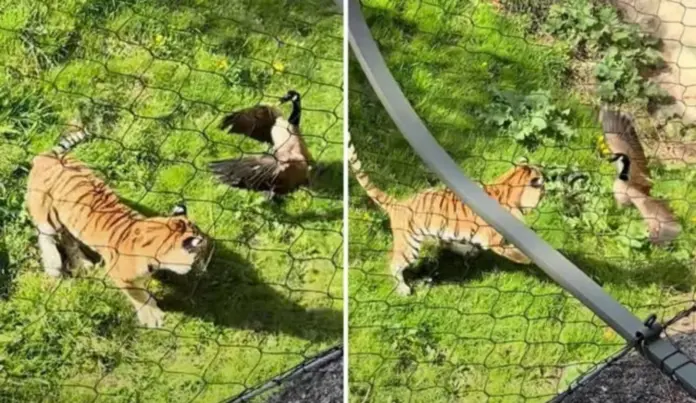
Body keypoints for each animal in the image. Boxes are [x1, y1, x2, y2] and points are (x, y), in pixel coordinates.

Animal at [26, 123, 212, 328]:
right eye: (201, 255)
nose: (205, 269)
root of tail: (48, 154)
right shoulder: (119, 274)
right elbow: (138, 295)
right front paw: (152, 318)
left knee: (69, 238)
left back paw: (83, 263)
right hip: (45, 210)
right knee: (45, 236)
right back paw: (53, 267)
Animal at [348, 135, 545, 295]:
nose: (546, 191)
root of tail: (399, 204)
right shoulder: (496, 240)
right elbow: (515, 252)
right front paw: (528, 260)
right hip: (409, 246)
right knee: (395, 262)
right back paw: (402, 289)